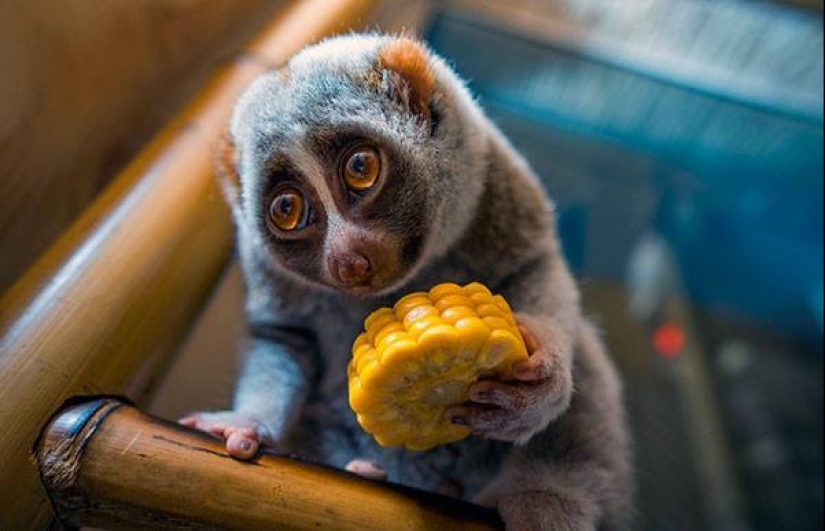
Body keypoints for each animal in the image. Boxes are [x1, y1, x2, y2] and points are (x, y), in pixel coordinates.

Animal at [180, 34, 632, 531]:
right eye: (286, 209)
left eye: (361, 169)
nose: (349, 258)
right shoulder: (264, 268)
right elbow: (284, 338)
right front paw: (244, 421)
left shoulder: (496, 180)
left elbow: (534, 265)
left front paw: (540, 380)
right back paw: (369, 471)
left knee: (586, 361)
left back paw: (545, 498)